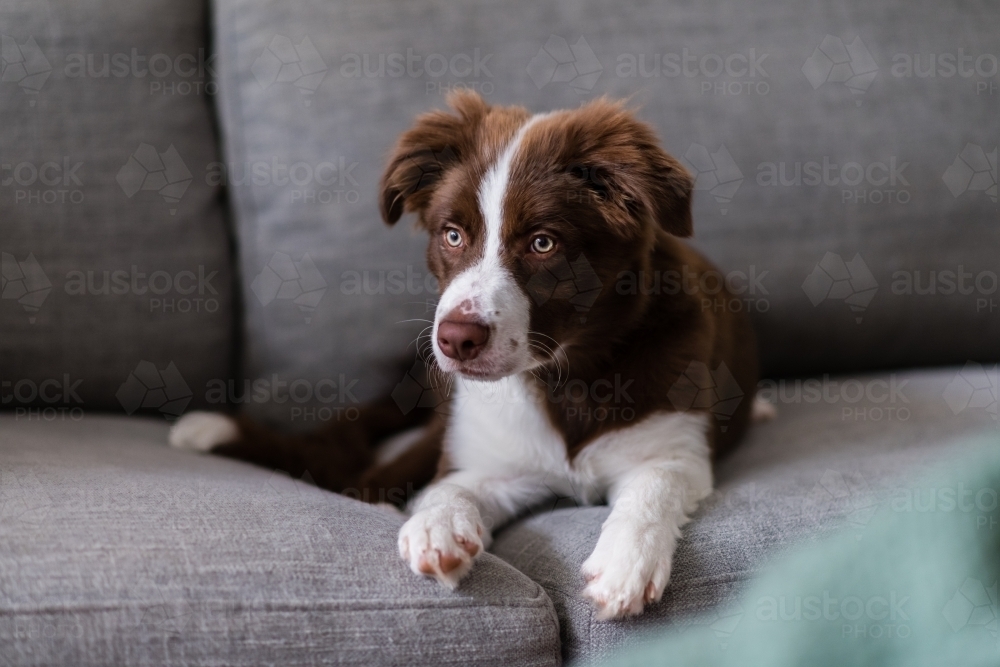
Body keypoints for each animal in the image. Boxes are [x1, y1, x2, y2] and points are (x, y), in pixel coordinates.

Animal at [172, 92, 764, 620]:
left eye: (543, 243)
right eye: (452, 235)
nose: (454, 340)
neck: (565, 377)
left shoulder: (677, 445)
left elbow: (655, 485)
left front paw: (626, 565)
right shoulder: (488, 459)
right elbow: (447, 488)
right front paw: (438, 528)